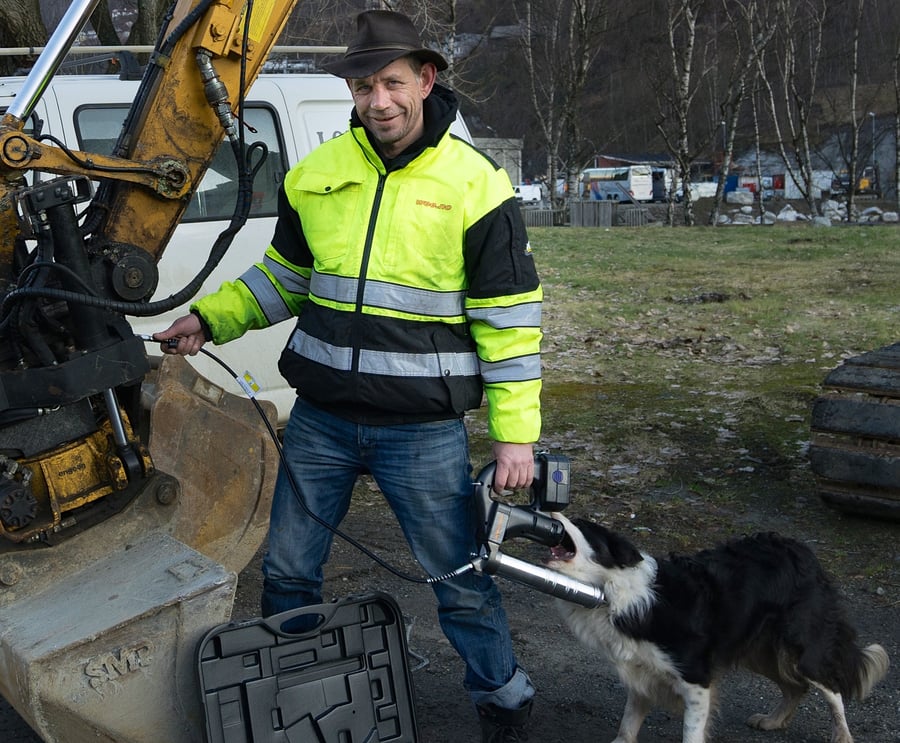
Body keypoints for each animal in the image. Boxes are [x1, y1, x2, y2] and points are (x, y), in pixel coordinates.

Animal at [544, 516, 888, 743]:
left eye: (581, 525)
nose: (555, 513)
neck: (618, 595)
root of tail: (802, 550)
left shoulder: (696, 679)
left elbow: (691, 731)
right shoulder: (642, 672)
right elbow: (627, 725)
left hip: (801, 647)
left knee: (832, 688)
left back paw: (842, 735)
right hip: (760, 651)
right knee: (796, 687)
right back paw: (773, 721)